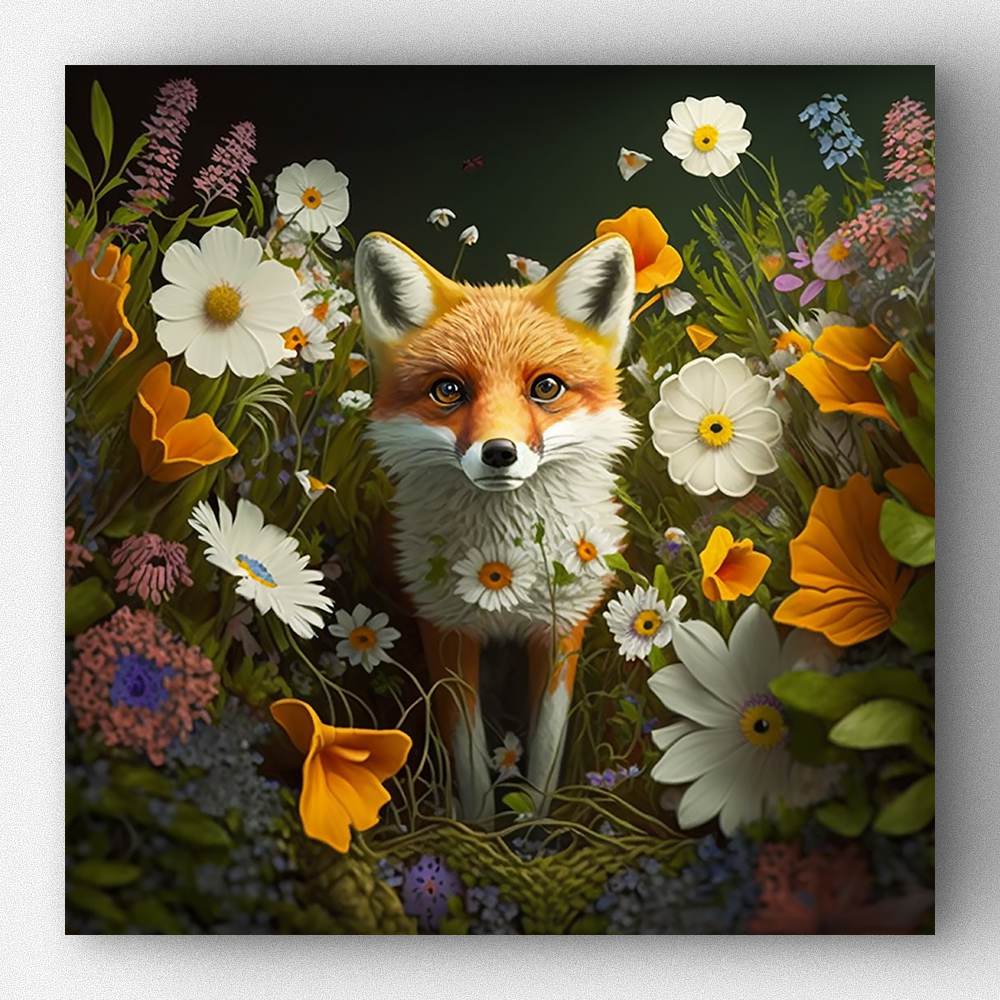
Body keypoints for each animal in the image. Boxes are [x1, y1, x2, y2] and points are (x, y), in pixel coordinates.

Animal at [354, 230, 639, 823]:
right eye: (448, 390)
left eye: (546, 387)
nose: (500, 452)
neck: (503, 568)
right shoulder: (446, 630)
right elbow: (469, 763)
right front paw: (481, 830)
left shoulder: (560, 630)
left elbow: (546, 754)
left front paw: (534, 829)